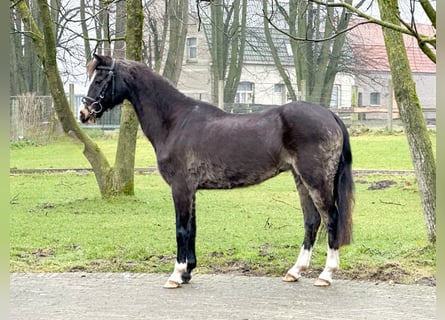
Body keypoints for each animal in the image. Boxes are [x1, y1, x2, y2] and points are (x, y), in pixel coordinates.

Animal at [80, 53, 354, 288]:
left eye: (101, 78)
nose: (84, 113)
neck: (175, 121)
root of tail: (330, 114)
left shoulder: (180, 187)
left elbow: (181, 229)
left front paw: (176, 274)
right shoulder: (190, 190)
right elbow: (192, 229)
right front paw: (187, 272)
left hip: (316, 179)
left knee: (331, 218)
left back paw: (326, 274)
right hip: (300, 179)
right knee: (312, 221)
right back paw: (295, 271)